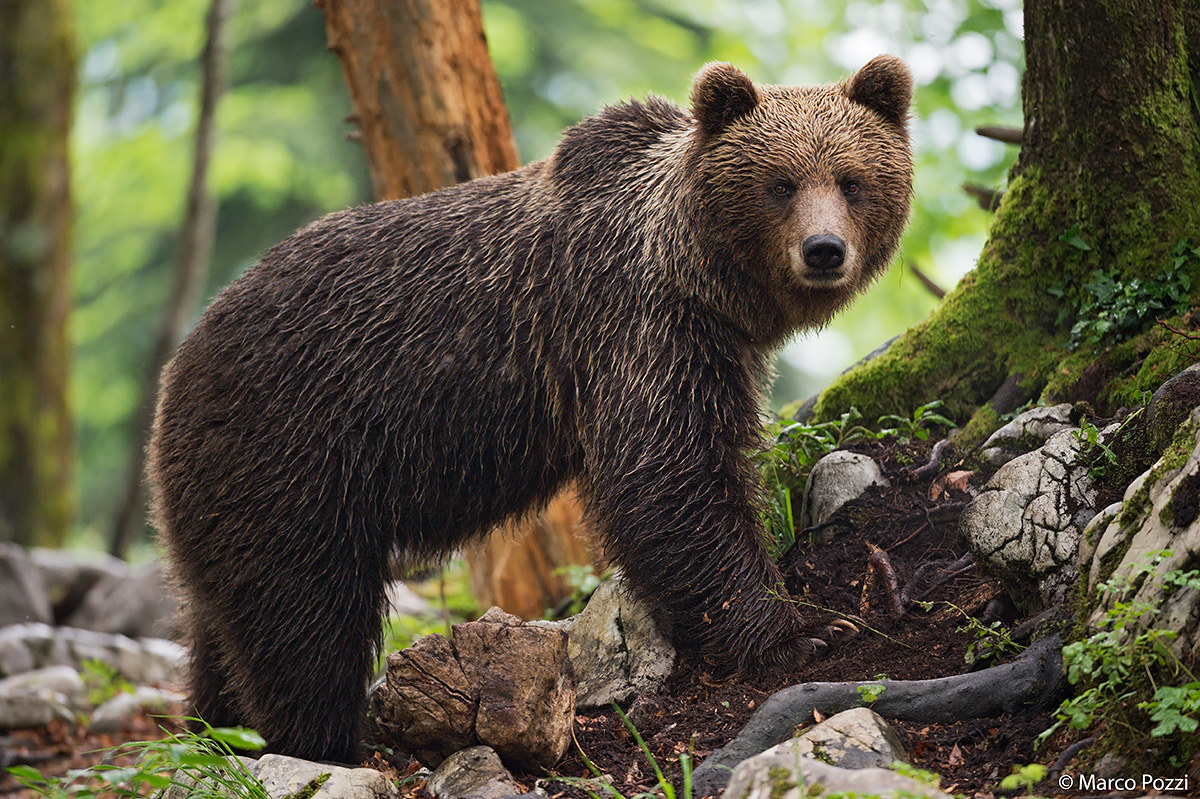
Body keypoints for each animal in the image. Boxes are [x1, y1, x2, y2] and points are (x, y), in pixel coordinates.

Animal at [148, 56, 913, 763]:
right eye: (780, 183)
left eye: (852, 180)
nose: (823, 250)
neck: (702, 277)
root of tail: (177, 368)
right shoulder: (636, 328)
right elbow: (670, 477)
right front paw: (802, 631)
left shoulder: (712, 346)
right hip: (291, 454)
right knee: (304, 620)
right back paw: (325, 741)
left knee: (223, 624)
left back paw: (215, 731)